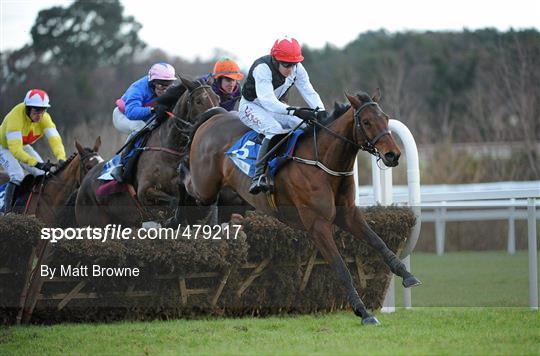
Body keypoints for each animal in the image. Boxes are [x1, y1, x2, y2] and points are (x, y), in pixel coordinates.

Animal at [75, 77, 220, 228]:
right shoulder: (144, 191)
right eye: (198, 101)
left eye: (218, 98)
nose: (216, 118)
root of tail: (84, 182)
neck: (172, 151)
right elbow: (173, 202)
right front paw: (172, 220)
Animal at [179, 90, 420, 326]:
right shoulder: (318, 226)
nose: (393, 155)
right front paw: (363, 312)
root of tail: (213, 116)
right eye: (367, 122)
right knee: (187, 180)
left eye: (386, 118)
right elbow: (341, 268)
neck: (322, 162)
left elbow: (378, 242)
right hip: (205, 187)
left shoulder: (349, 215)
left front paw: (407, 275)